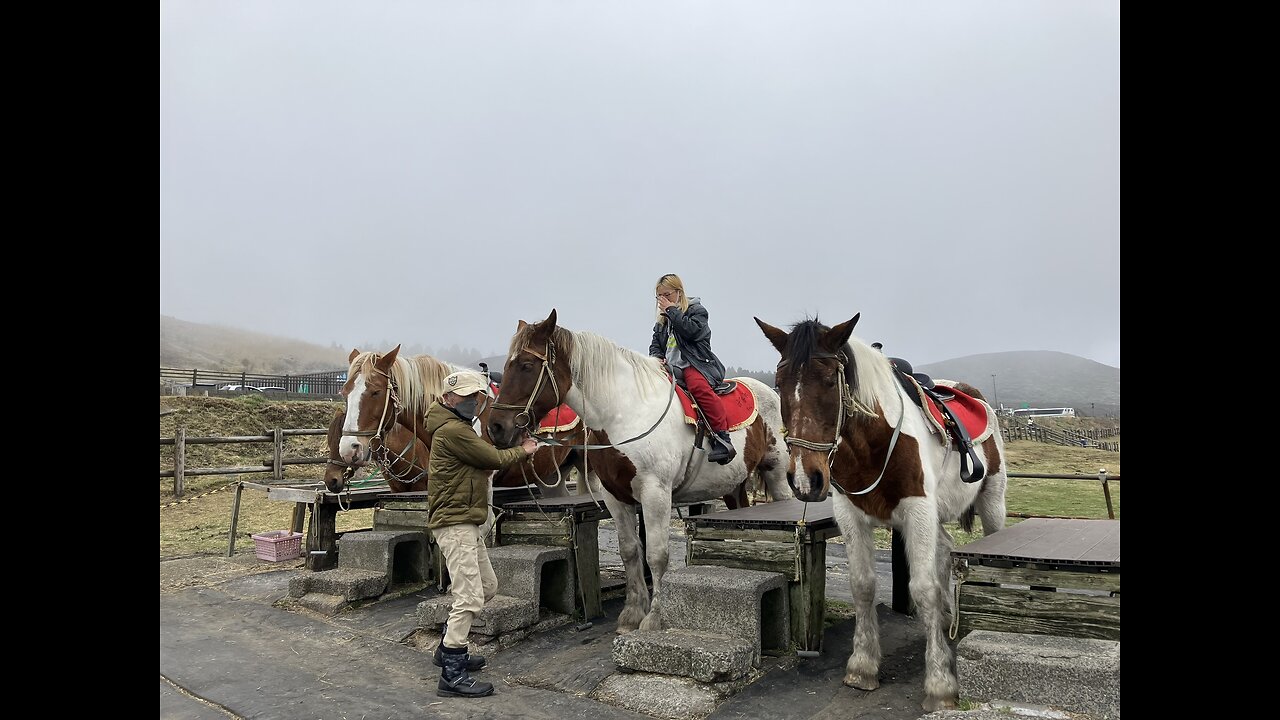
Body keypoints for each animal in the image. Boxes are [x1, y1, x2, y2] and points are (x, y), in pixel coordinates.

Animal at [483, 304, 793, 630]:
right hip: (733, 485)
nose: (496, 427)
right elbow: (630, 551)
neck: (624, 413)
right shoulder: (614, 496)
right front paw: (632, 612)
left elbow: (656, 555)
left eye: (527, 365)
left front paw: (654, 617)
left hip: (776, 473)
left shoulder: (656, 493)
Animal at [747, 312, 1008, 707]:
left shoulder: (917, 512)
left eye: (830, 382)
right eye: (779, 384)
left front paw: (940, 683)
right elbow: (863, 586)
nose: (806, 478)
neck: (874, 444)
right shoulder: (852, 516)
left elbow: (924, 588)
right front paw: (863, 665)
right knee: (945, 551)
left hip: (992, 502)